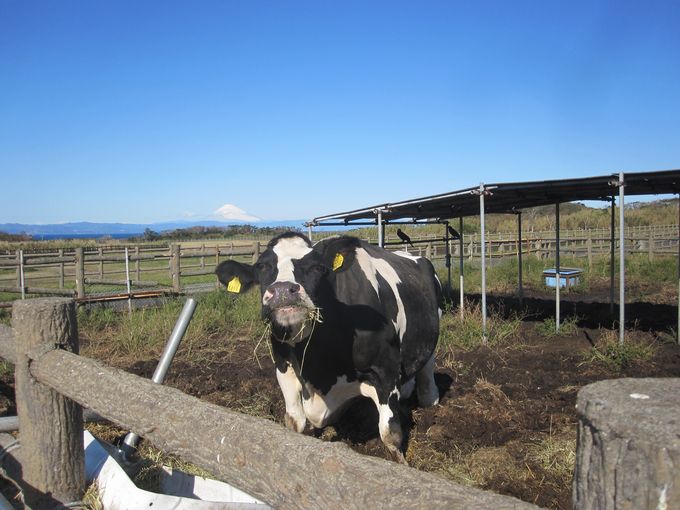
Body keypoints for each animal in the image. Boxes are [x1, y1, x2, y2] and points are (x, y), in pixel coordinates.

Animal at [215, 233, 444, 464]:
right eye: (261, 266)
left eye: (317, 267)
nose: (282, 290)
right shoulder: (283, 364)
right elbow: (294, 421)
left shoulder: (385, 369)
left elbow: (390, 433)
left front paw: (402, 464)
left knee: (428, 362)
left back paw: (430, 398)